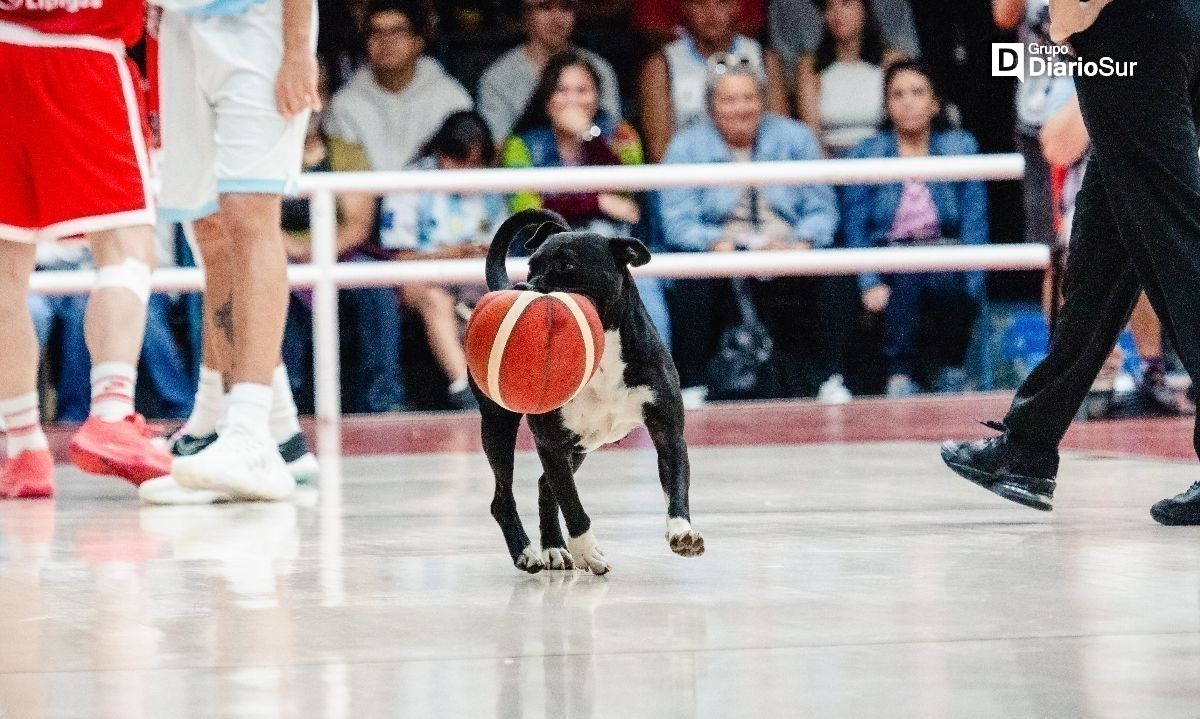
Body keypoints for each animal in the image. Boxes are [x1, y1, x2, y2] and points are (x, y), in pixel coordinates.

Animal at [475, 206, 705, 573]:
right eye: (531, 265)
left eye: (567, 265)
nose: (524, 286)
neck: (603, 354)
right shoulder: (552, 442)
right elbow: (573, 504)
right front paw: (587, 550)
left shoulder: (667, 432)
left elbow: (676, 485)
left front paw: (682, 531)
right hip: (498, 428)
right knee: (504, 497)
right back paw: (527, 551)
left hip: (580, 446)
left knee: (544, 486)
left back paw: (554, 547)